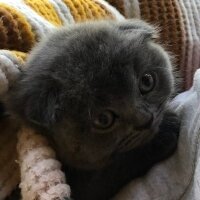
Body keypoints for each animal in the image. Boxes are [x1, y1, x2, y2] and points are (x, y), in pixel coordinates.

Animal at [6, 19, 180, 200]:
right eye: (104, 119)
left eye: (147, 81)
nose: (146, 119)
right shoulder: (84, 188)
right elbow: (115, 169)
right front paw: (167, 130)